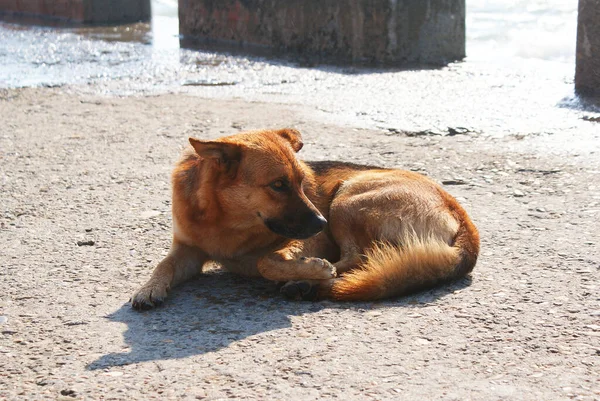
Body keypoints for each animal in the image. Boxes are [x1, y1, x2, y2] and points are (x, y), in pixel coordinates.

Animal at [130, 128, 478, 310]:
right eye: (278, 185)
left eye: (301, 182)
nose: (321, 223)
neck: (223, 221)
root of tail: (462, 217)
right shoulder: (187, 250)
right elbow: (164, 265)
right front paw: (149, 288)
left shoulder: (310, 238)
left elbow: (267, 261)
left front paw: (311, 269)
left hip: (347, 199)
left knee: (356, 259)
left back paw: (308, 283)